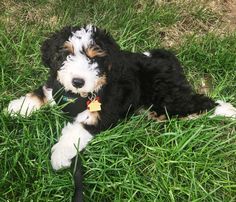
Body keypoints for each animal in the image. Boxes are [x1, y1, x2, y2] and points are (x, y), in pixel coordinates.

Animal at [6, 24, 236, 200]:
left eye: (94, 59)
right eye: (66, 54)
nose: (78, 81)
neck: (79, 95)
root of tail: (169, 62)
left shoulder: (101, 113)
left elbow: (75, 131)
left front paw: (59, 156)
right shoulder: (56, 87)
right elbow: (41, 94)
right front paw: (18, 108)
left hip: (167, 97)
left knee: (199, 102)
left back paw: (227, 111)